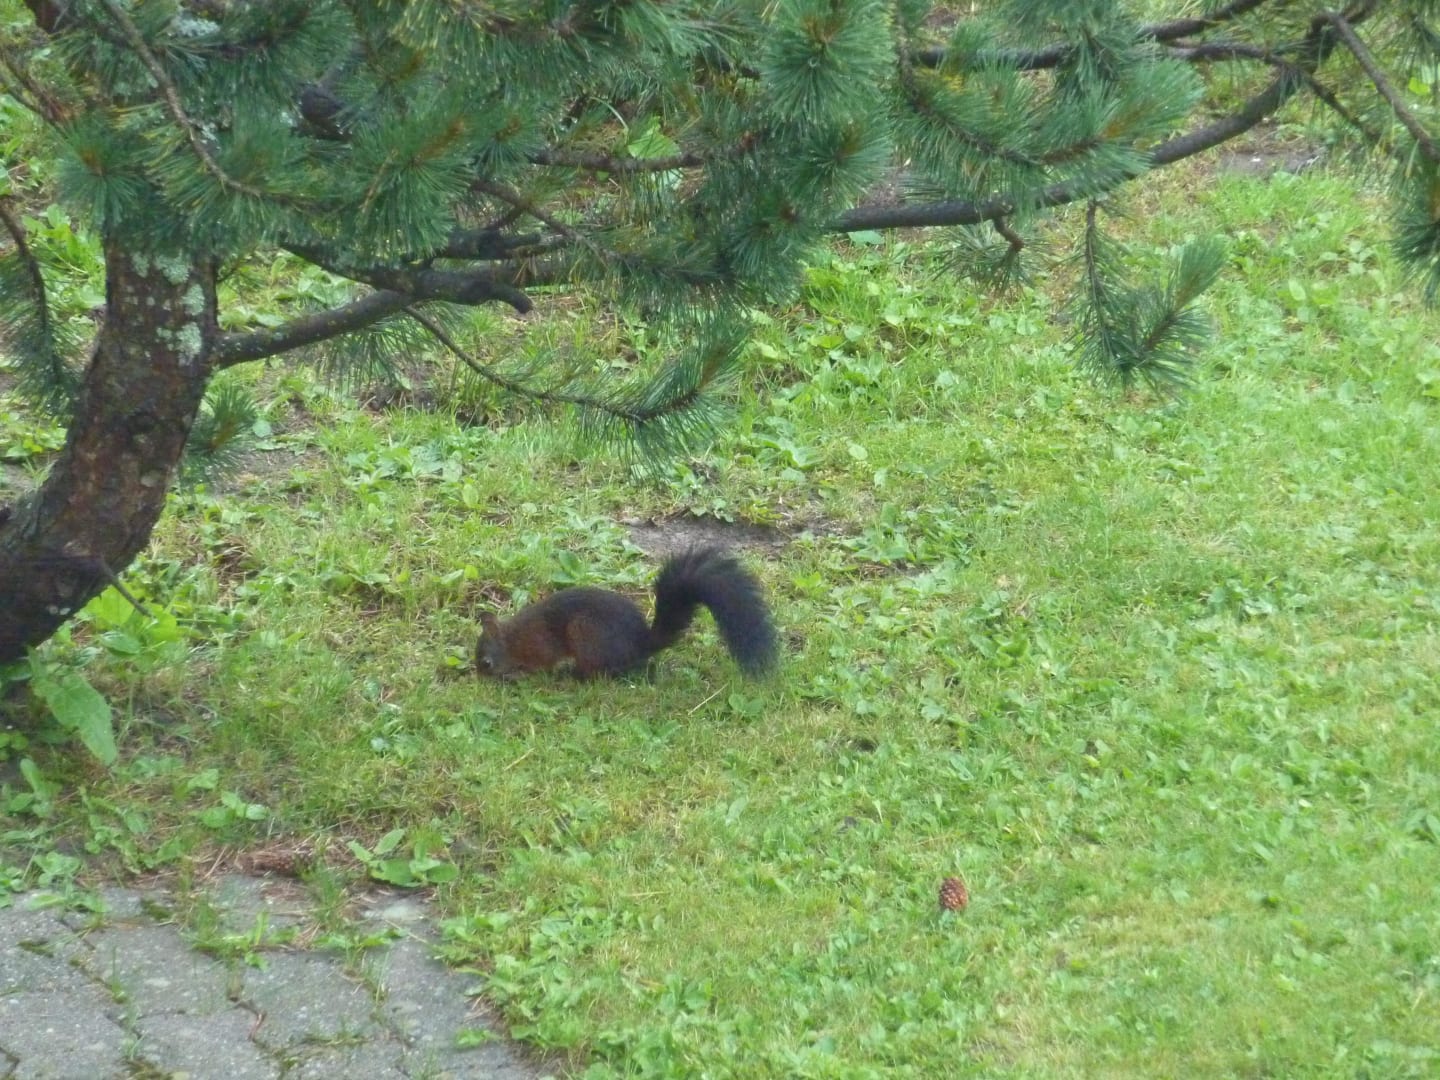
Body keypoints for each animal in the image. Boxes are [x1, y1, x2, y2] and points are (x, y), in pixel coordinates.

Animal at [475, 546, 777, 679]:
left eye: (486, 663)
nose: (480, 678)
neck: (512, 638)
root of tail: (640, 644)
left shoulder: (539, 645)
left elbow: (543, 664)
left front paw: (520, 675)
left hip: (585, 633)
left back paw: (575, 675)